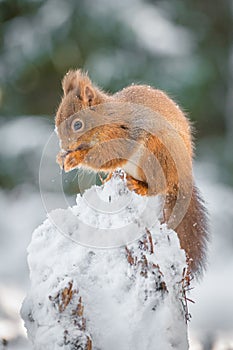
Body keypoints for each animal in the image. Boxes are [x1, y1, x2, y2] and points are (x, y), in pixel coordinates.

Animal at [55, 69, 208, 274]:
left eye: (77, 125)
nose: (65, 147)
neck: (105, 118)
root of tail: (182, 175)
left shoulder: (121, 135)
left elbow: (106, 155)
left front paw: (74, 158)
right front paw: (61, 157)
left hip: (156, 154)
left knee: (159, 187)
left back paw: (139, 186)